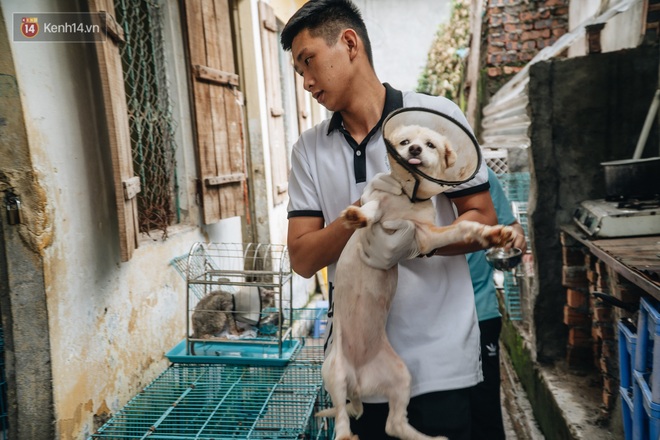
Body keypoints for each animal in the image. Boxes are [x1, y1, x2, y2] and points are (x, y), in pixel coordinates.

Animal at [318, 124, 512, 440]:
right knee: (342, 420)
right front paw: (357, 216)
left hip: (400, 376)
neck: (406, 199)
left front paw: (491, 233)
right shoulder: (379, 201)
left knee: (393, 424)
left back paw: (430, 438)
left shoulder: (424, 235)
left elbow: (464, 226)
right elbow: (371, 208)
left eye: (430, 145)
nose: (415, 149)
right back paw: (347, 434)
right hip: (334, 371)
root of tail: (359, 381)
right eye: (405, 142)